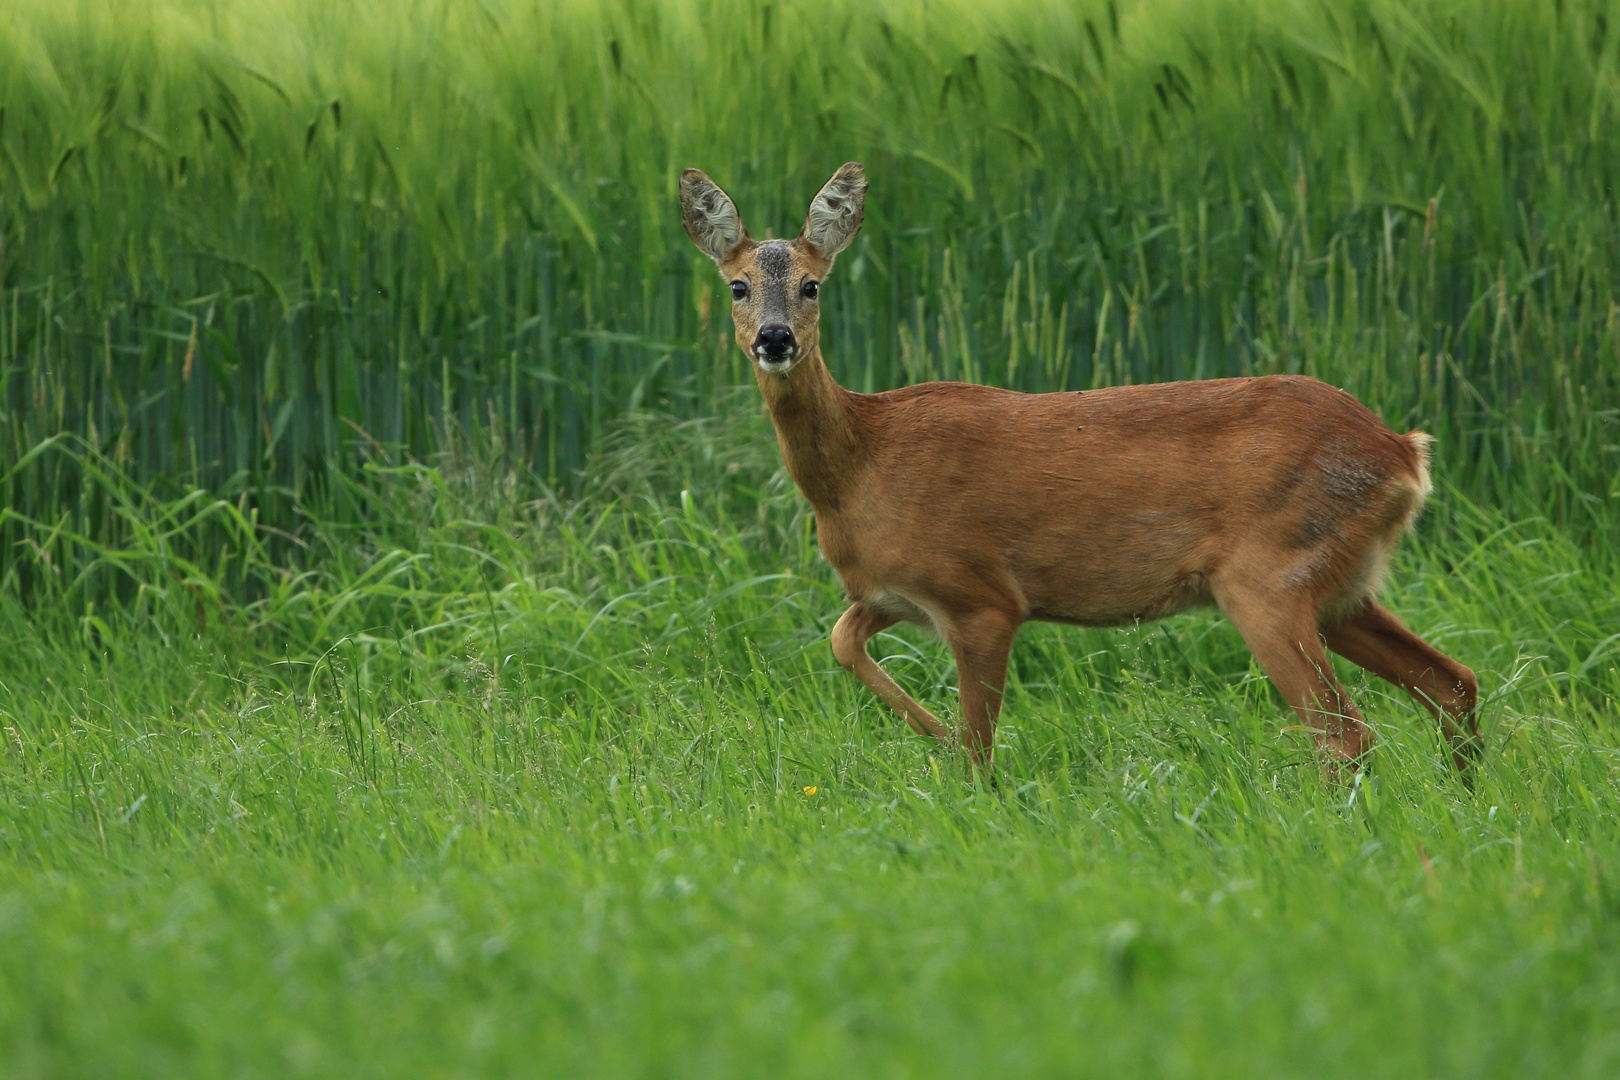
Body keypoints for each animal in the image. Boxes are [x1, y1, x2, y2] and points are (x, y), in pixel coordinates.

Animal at [680, 162, 1483, 777]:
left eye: (812, 284)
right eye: (737, 286)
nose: (775, 340)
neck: (858, 467)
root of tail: (1403, 451)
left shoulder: (981, 595)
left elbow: (978, 748)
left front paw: (958, 768)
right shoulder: (892, 590)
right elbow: (842, 641)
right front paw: (930, 738)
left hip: (1268, 576)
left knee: (1345, 731)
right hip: (1343, 587)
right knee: (1453, 682)